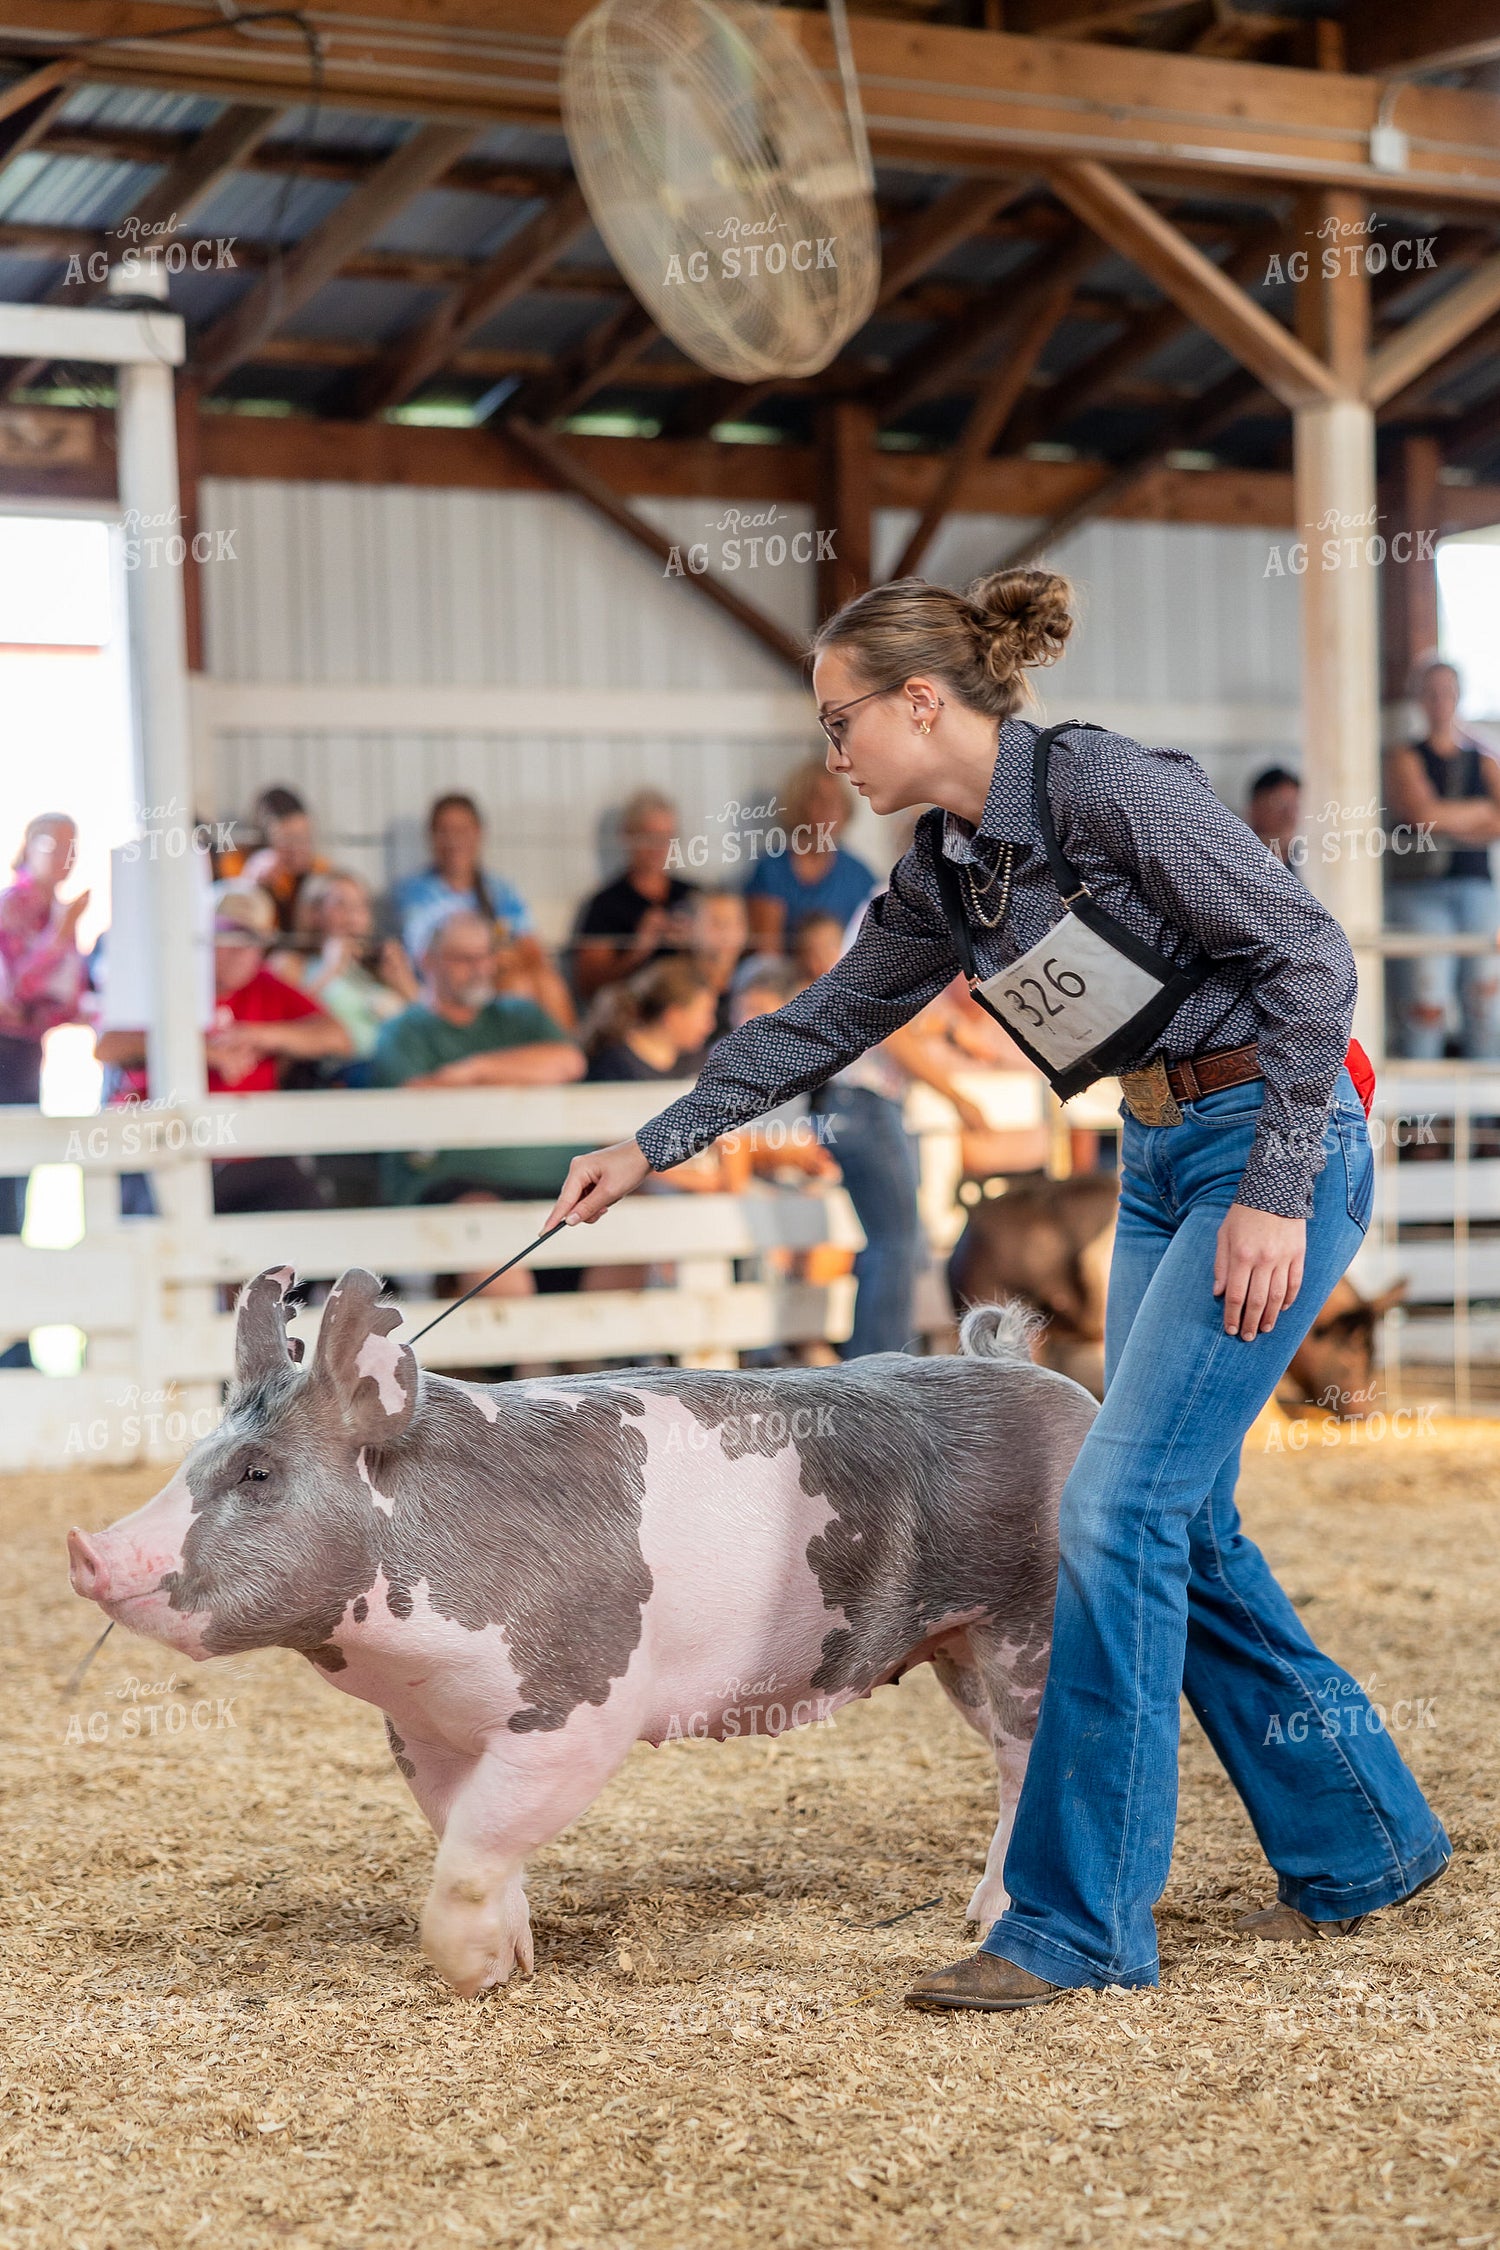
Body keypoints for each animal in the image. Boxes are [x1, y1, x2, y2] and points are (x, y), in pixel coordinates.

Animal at [68, 1265, 1095, 1998]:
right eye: (197, 1457)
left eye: (257, 1474)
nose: (87, 1547)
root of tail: (1033, 1373)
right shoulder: (421, 1730)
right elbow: (468, 1834)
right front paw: (516, 1958)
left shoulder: (578, 1708)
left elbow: (473, 1855)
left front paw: (473, 1976)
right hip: (952, 1644)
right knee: (1003, 1757)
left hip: (1030, 1621)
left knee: (1030, 1757)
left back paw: (986, 1923)